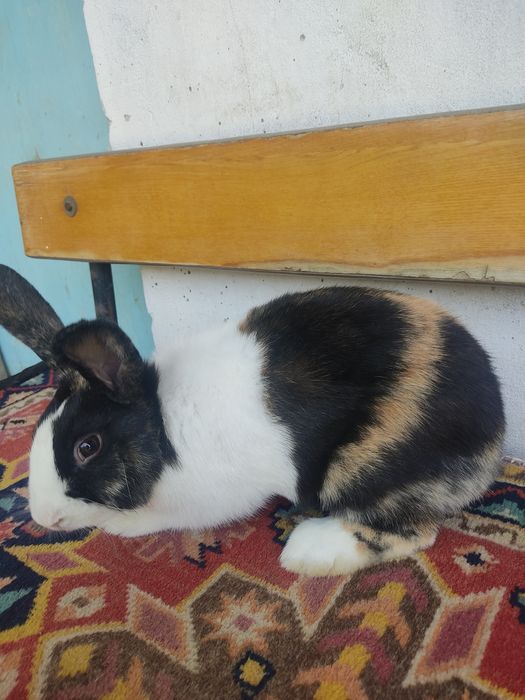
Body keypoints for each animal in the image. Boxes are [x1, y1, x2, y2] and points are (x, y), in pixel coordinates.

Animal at [0, 264, 505, 576]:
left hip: (363, 466)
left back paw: (306, 553)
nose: (42, 517)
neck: (162, 427)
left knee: (412, 532)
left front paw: (118, 527)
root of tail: (495, 432)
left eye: (88, 447)